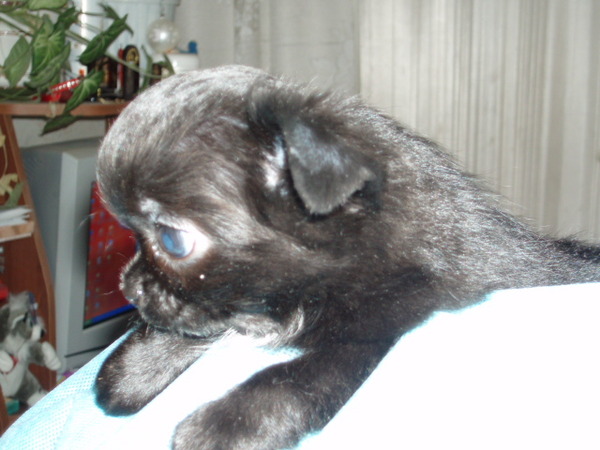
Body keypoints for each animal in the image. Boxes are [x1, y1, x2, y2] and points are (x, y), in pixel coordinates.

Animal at [94, 65, 600, 449]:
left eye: (172, 241)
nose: (127, 286)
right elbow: (212, 318)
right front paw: (136, 370)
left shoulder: (377, 327)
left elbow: (300, 377)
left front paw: (227, 425)